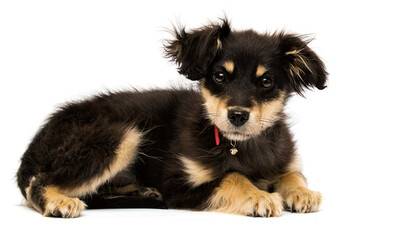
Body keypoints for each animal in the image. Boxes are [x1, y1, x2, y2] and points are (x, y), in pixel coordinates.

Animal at [16, 18, 328, 218]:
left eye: (266, 82)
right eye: (219, 76)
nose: (237, 115)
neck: (239, 144)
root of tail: (34, 144)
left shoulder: (283, 160)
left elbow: (293, 173)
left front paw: (302, 192)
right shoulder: (180, 188)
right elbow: (232, 177)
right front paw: (259, 195)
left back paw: (143, 192)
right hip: (122, 134)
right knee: (37, 183)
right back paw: (59, 203)